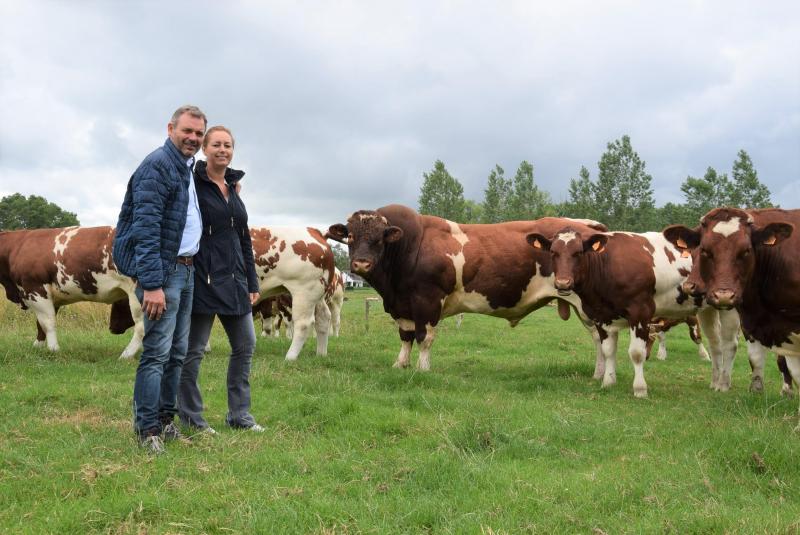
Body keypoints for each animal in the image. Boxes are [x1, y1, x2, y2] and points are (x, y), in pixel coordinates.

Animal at [0, 224, 142, 358]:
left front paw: (53, 349)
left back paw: (126, 355)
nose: (112, 328)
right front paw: (37, 347)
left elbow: (48, 323)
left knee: (141, 327)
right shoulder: (52, 297)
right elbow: (40, 325)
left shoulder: (35, 290)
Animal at [252, 226, 336, 360]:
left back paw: (290, 357)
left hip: (304, 291)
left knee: (303, 323)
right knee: (323, 317)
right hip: (317, 295)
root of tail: (314, 230)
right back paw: (321, 354)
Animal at [324, 204, 608, 372]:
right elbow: (405, 337)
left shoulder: (428, 301)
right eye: (350, 236)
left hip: (590, 305)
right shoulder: (402, 305)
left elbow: (424, 337)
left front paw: (422, 369)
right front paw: (400, 364)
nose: (361, 263)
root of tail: (586, 225)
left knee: (601, 339)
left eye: (379, 239)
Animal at [524, 227, 744, 398]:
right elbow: (608, 350)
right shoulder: (602, 316)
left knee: (730, 345)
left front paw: (640, 389)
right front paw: (608, 382)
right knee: (715, 344)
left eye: (578, 252)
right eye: (553, 252)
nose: (563, 283)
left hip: (729, 305)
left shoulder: (640, 312)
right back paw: (715, 382)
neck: (608, 264)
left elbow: (637, 353)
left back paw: (724, 384)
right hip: (708, 309)